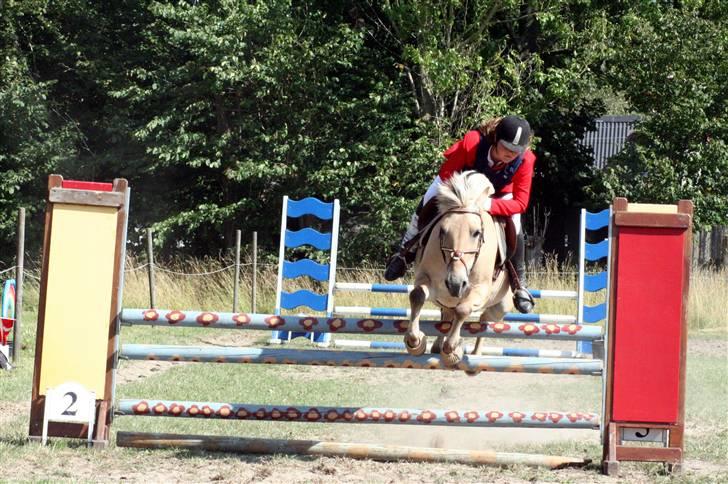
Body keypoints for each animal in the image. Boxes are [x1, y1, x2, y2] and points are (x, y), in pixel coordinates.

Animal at [404, 170, 512, 366]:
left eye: (477, 233)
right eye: (442, 231)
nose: (455, 283)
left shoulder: (480, 289)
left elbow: (463, 310)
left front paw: (452, 350)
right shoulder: (428, 279)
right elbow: (417, 295)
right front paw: (415, 342)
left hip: (500, 306)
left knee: (483, 321)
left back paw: (475, 354)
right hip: (444, 299)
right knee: (447, 315)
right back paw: (437, 346)